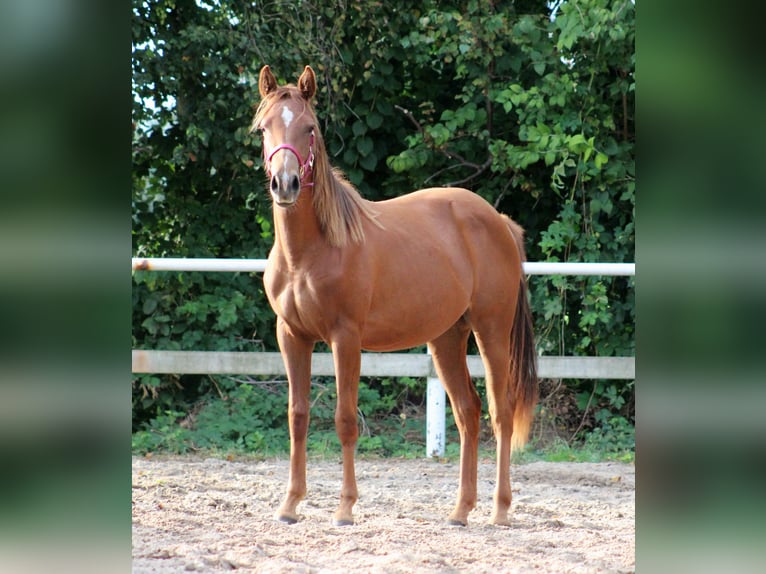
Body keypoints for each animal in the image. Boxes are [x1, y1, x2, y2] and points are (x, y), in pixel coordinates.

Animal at [252, 65, 540, 528]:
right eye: (264, 128)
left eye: (310, 128)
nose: (286, 184)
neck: (311, 251)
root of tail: (498, 221)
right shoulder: (291, 335)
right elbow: (298, 416)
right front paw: (290, 504)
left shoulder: (345, 339)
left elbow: (345, 419)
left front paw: (345, 508)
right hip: (447, 338)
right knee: (468, 411)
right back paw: (461, 510)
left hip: (491, 332)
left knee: (502, 410)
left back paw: (499, 509)